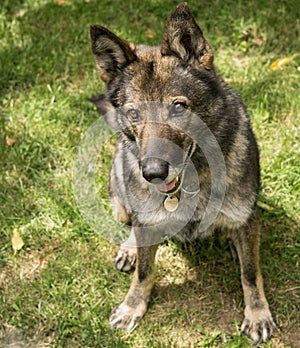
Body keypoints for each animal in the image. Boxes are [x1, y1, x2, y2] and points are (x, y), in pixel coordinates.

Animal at [89, 2, 276, 344]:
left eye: (178, 107)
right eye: (133, 113)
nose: (152, 172)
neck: (191, 181)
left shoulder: (247, 217)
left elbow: (250, 273)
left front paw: (257, 313)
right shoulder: (145, 221)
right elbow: (145, 272)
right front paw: (132, 305)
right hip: (120, 194)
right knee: (131, 222)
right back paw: (130, 248)